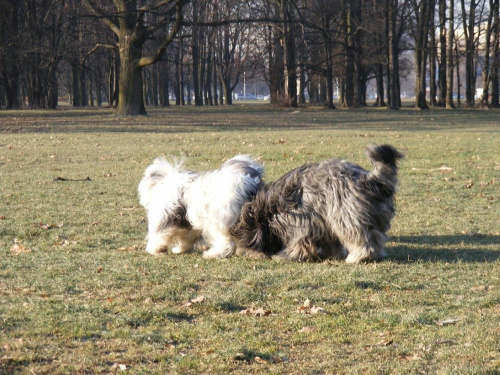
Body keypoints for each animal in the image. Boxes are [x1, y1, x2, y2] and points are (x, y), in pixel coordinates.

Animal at [230, 145, 402, 264]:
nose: (241, 253)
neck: (272, 211)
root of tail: (370, 179)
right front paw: (330, 254)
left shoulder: (301, 221)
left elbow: (301, 242)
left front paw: (287, 255)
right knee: (376, 237)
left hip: (346, 213)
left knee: (360, 236)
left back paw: (358, 256)